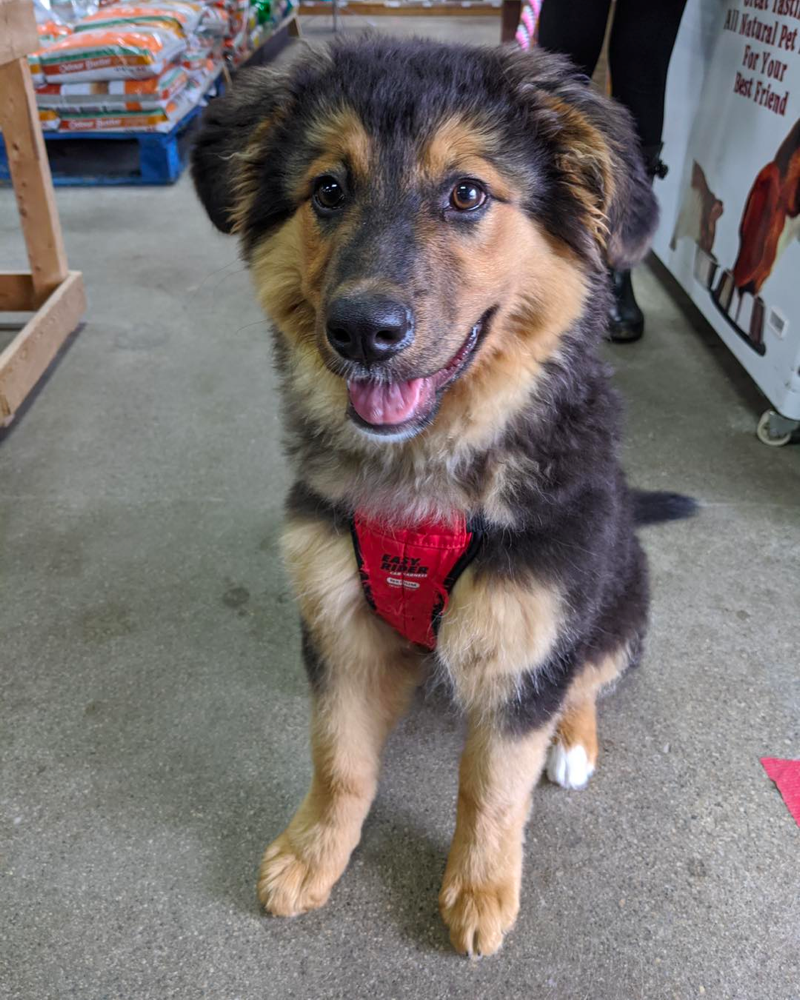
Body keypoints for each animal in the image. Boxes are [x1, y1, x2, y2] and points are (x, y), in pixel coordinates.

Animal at [191, 35, 692, 956]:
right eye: (328, 189)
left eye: (467, 193)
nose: (363, 331)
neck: (427, 473)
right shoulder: (339, 622)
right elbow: (339, 757)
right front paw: (313, 852)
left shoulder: (529, 631)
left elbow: (494, 784)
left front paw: (481, 889)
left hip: (618, 598)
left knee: (590, 678)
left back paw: (573, 742)